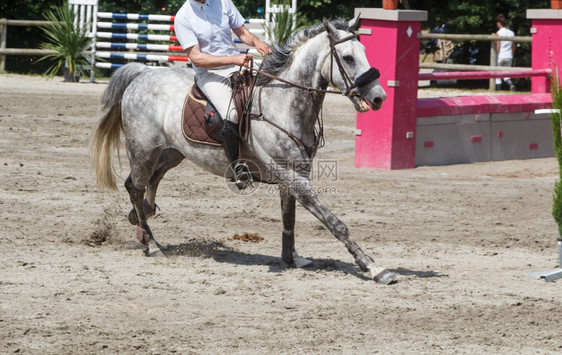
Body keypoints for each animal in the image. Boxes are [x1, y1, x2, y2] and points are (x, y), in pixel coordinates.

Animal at [91, 18, 394, 286]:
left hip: (172, 153)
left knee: (144, 183)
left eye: (364, 52)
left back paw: (142, 219)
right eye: (347, 58)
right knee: (136, 187)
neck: (283, 103)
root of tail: (142, 73)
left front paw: (291, 258)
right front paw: (374, 267)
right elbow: (335, 222)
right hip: (143, 150)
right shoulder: (294, 177)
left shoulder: (292, 176)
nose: (379, 97)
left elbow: (289, 219)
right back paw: (151, 242)